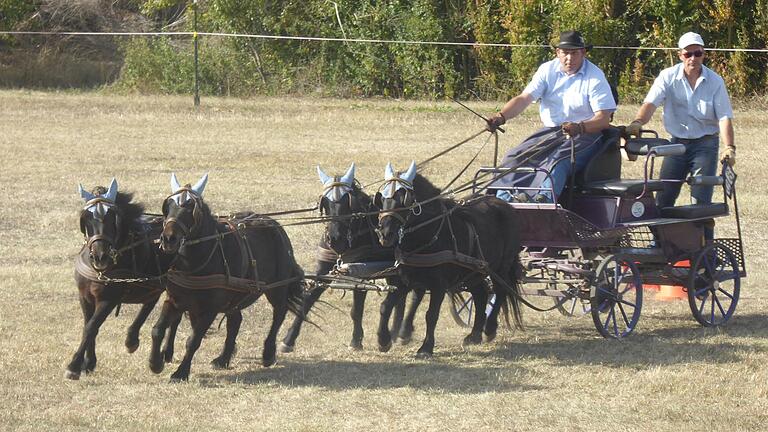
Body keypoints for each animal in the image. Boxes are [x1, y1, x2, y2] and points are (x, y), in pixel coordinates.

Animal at [65, 184, 178, 380]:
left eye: (112, 219)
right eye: (86, 218)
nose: (100, 256)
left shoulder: (109, 299)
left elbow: (91, 327)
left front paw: (74, 366)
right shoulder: (84, 296)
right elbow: (88, 325)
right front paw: (89, 362)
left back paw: (164, 351)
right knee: (151, 303)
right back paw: (134, 340)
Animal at [152, 176, 304, 382]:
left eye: (190, 208)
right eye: (168, 206)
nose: (169, 239)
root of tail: (275, 225)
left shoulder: (210, 309)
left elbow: (193, 340)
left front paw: (180, 373)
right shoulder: (175, 300)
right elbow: (158, 329)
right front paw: (155, 363)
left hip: (277, 288)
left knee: (279, 312)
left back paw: (268, 353)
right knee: (235, 320)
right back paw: (224, 358)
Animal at [278, 167, 420, 352]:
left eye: (348, 204)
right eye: (326, 204)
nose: (335, 239)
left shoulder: (361, 273)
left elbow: (357, 309)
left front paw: (356, 340)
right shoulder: (324, 270)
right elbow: (307, 299)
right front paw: (288, 340)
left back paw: (402, 332)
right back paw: (395, 331)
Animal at [376, 171, 520, 358]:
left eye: (405, 200)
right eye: (382, 198)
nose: (385, 234)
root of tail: (505, 205)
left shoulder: (439, 285)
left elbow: (431, 315)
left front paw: (425, 348)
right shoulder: (404, 280)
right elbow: (385, 307)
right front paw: (383, 340)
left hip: (501, 267)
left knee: (500, 291)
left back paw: (489, 329)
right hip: (473, 272)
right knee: (481, 294)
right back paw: (474, 335)